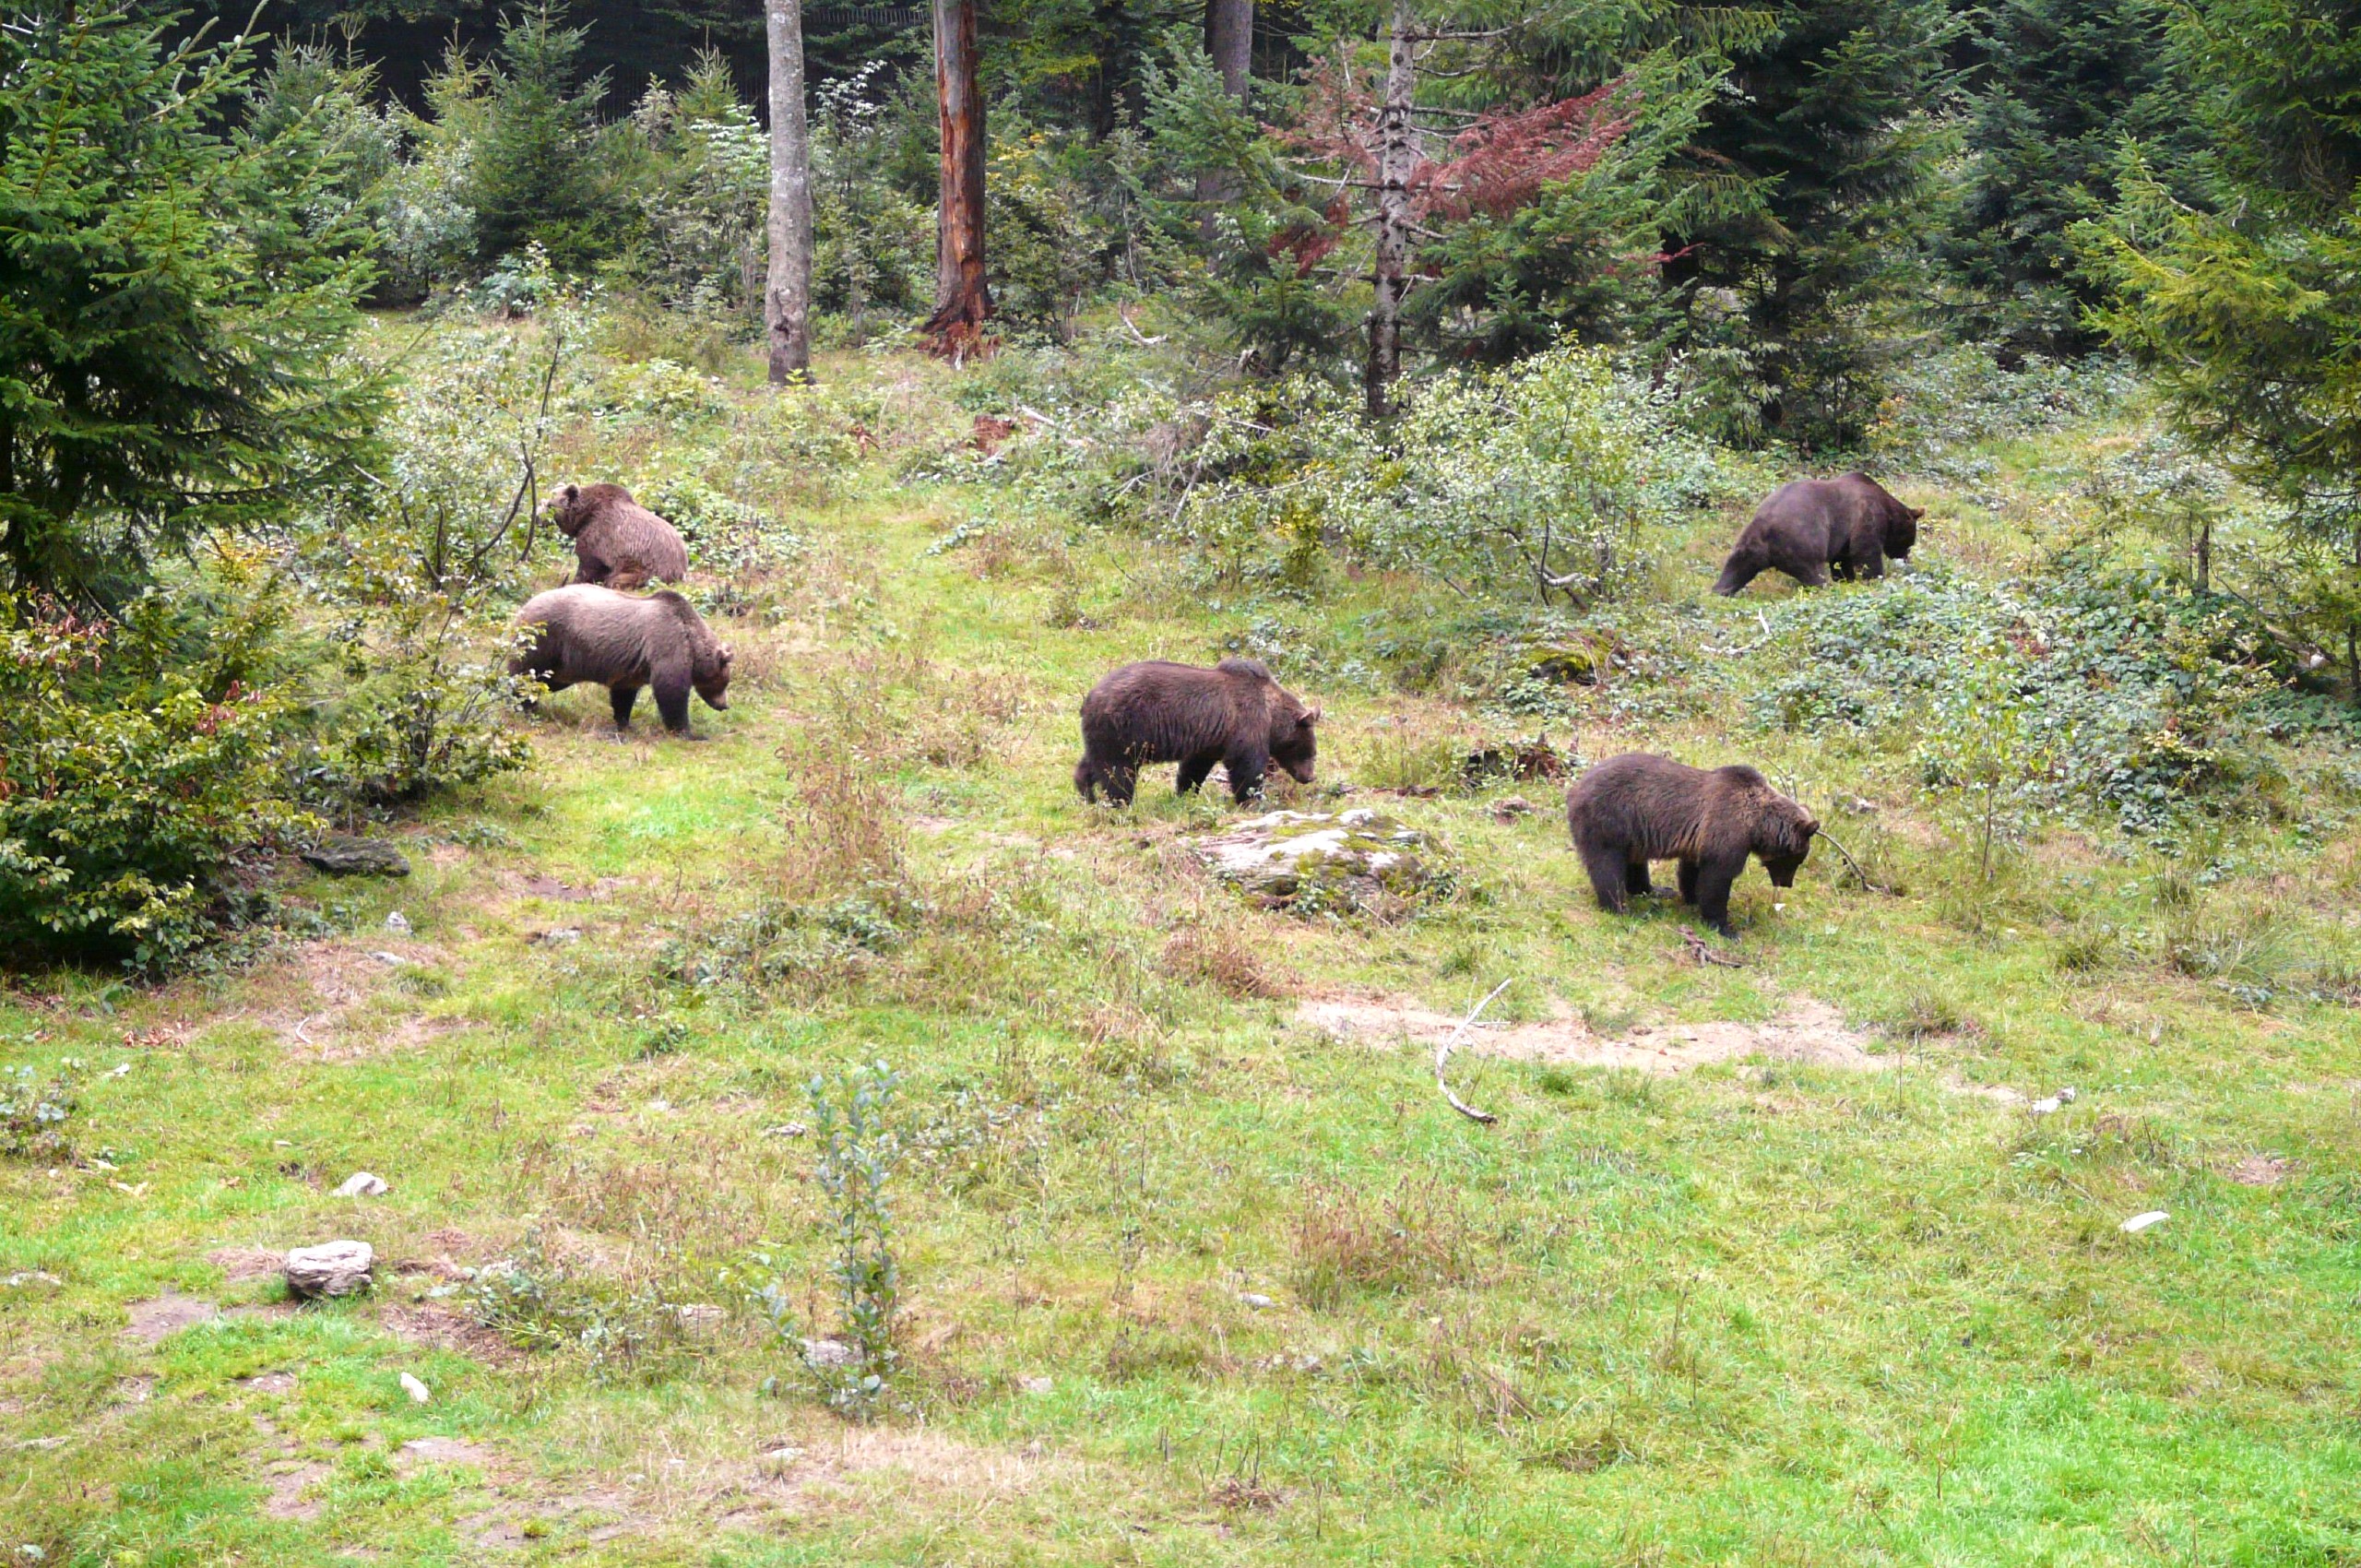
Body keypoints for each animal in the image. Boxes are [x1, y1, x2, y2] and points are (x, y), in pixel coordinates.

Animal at [512, 585, 731, 736]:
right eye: (724, 682)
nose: (724, 705)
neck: (693, 643)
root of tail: (523, 608)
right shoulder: (667, 643)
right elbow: (671, 689)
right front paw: (687, 732)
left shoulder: (631, 668)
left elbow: (624, 695)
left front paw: (625, 723)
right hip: (544, 639)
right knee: (526, 674)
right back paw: (523, 706)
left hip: (562, 666)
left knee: (545, 682)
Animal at [550, 481, 689, 590]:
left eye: (549, 503)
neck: (585, 515)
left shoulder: (598, 535)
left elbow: (589, 564)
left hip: (646, 565)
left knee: (621, 579)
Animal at [1076, 656, 1322, 807]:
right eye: (1309, 751)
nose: (1309, 776)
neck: (1272, 717)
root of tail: (1089, 697)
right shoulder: (1246, 725)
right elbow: (1247, 767)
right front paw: (1253, 799)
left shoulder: (1210, 740)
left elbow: (1194, 768)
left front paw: (1184, 792)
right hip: (1124, 729)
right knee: (1118, 772)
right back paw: (1121, 802)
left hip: (1106, 735)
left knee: (1093, 763)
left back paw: (1088, 794)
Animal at [1577, 755, 1813, 934]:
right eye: (1797, 860)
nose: (1787, 883)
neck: (1757, 823)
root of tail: (1577, 787)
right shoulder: (1726, 831)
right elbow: (1717, 880)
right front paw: (1725, 927)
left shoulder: (1699, 841)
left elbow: (1692, 872)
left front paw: (1691, 897)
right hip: (1609, 821)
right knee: (1607, 868)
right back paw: (1619, 908)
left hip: (1634, 835)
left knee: (1635, 863)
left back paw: (1654, 890)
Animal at [1709, 472, 1926, 595]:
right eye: (1910, 540)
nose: (1906, 557)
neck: (1888, 510)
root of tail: (1765, 527)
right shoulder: (1866, 516)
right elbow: (1865, 552)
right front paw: (1874, 578)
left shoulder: (1841, 537)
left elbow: (1842, 560)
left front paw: (1846, 579)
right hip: (1804, 541)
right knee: (1813, 572)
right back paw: (1826, 588)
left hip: (1748, 545)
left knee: (1736, 567)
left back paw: (1721, 590)